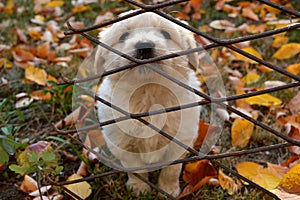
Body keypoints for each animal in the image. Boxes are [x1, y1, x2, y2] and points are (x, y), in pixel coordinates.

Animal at [95, 11, 200, 197]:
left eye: (165, 34)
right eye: (123, 36)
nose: (144, 46)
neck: (148, 92)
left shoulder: (178, 141)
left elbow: (171, 170)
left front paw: (168, 190)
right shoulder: (123, 144)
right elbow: (136, 169)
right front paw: (139, 188)